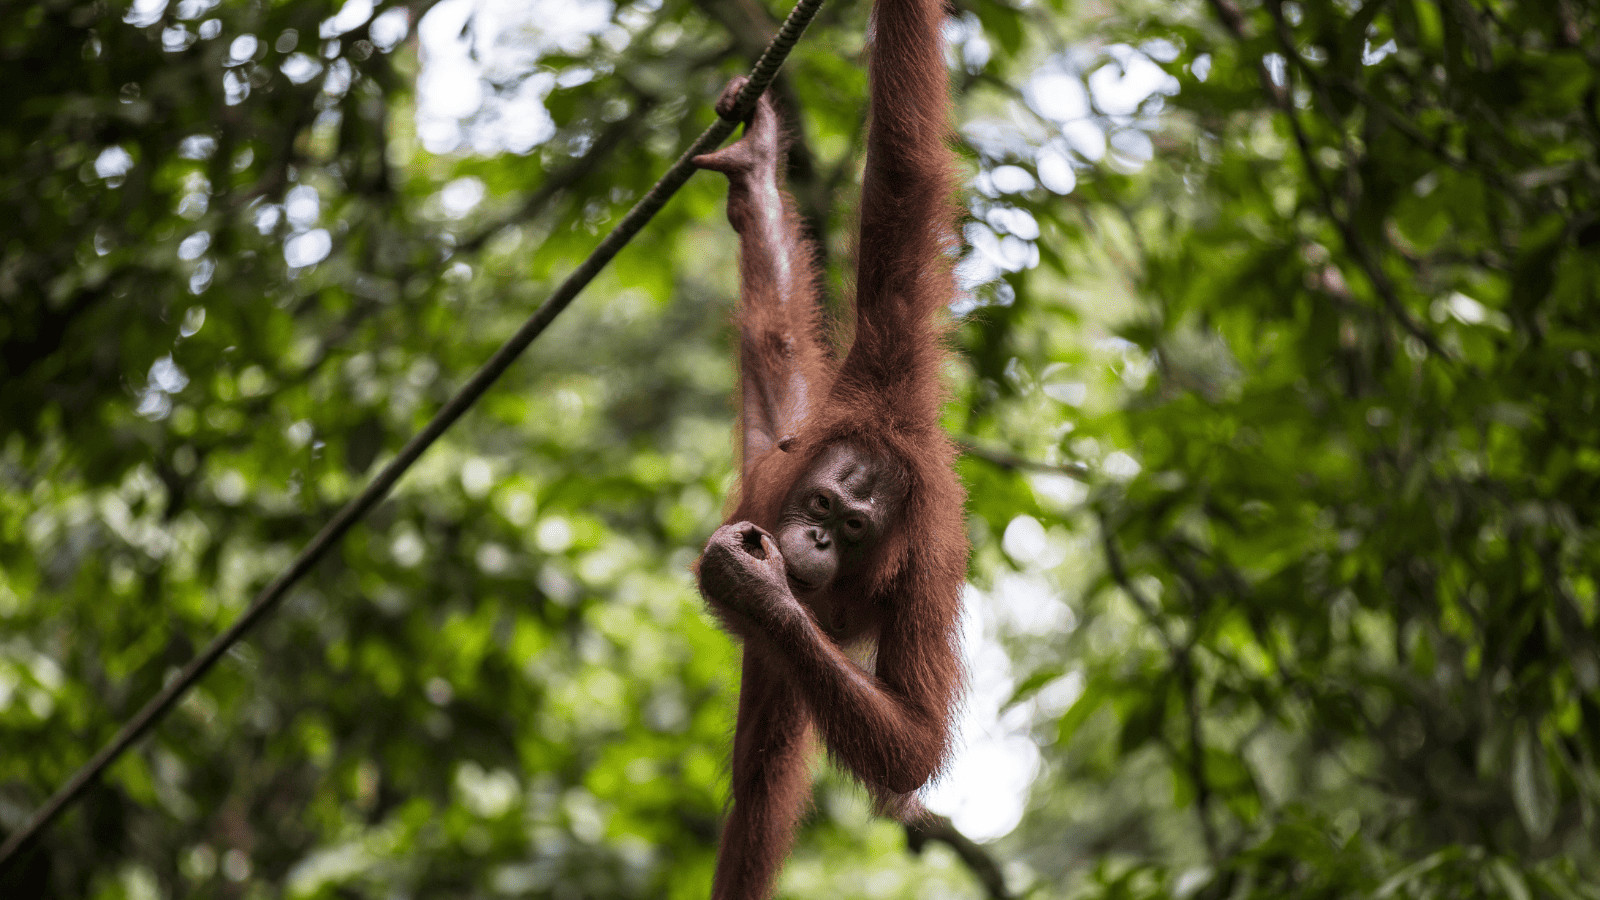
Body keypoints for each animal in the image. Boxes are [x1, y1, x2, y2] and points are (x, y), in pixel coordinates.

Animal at [690, 0, 967, 896]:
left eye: (851, 529)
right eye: (820, 503)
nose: (809, 537)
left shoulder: (928, 576)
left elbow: (913, 742)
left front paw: (764, 589)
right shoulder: (881, 356)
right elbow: (903, 174)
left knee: (766, 773)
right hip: (790, 427)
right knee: (775, 336)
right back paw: (755, 171)